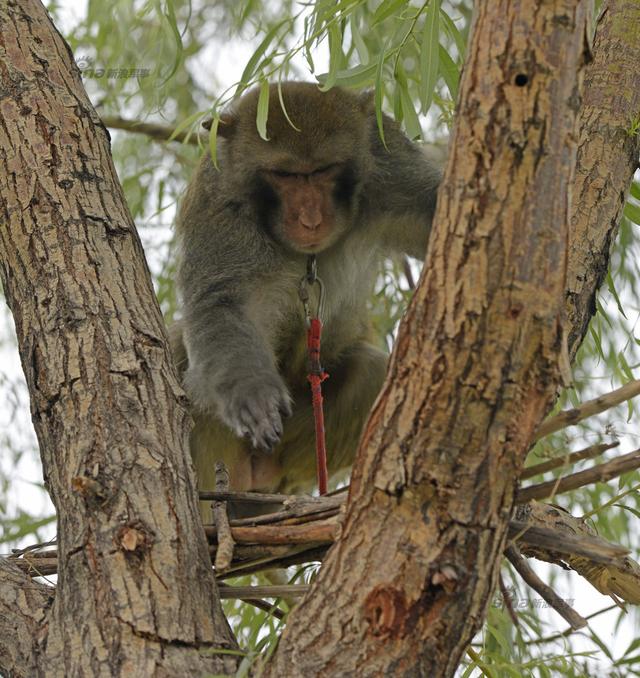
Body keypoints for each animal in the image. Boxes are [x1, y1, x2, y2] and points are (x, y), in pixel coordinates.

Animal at [170, 82, 440, 516]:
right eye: (285, 175)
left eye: (324, 170)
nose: (310, 220)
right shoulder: (221, 204)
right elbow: (221, 305)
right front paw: (251, 392)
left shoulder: (388, 163)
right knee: (183, 354)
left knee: (369, 371)